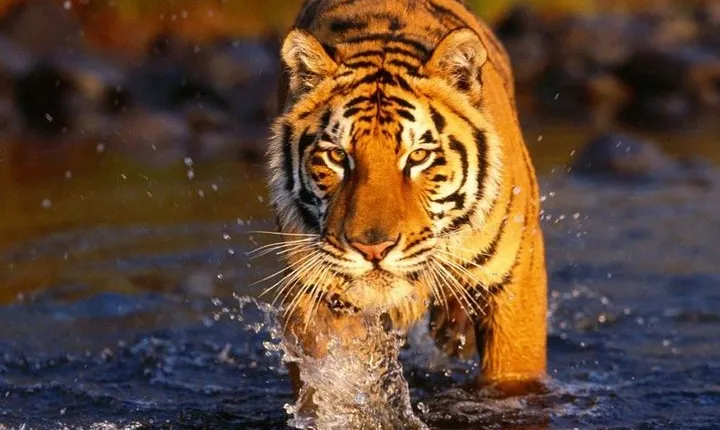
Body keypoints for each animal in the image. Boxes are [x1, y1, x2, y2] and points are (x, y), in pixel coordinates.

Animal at [264, 0, 547, 400]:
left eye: (418, 157)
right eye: (337, 156)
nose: (373, 249)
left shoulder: (515, 279)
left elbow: (512, 374)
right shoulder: (315, 291)